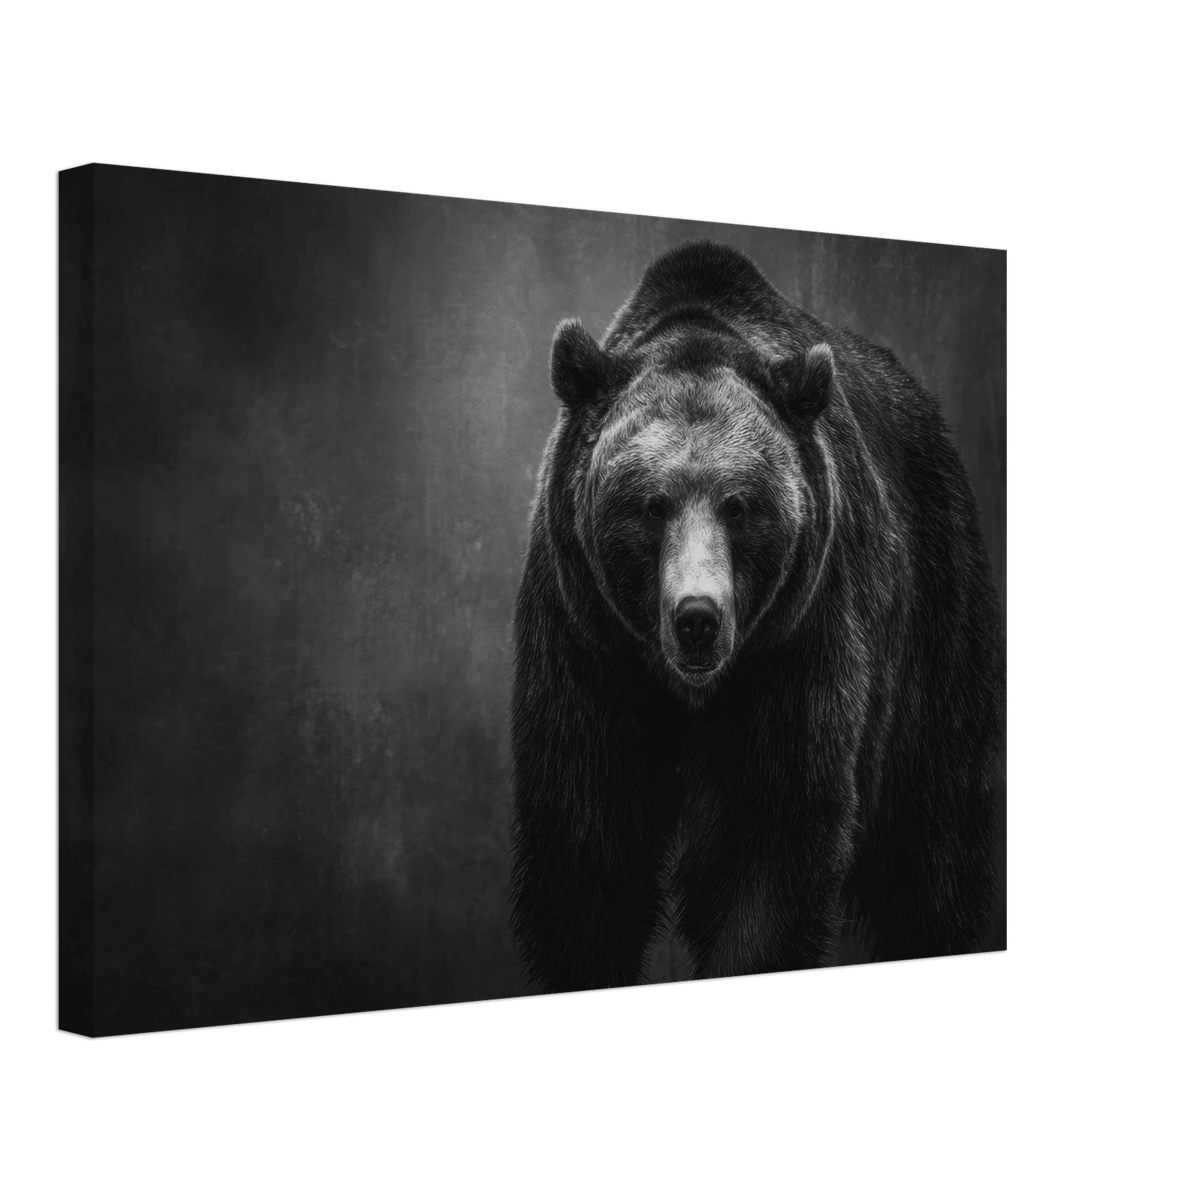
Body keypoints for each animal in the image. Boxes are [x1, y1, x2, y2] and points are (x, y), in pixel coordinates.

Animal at [509, 241, 1004, 994]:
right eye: (650, 504)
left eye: (740, 504)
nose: (697, 618)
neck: (690, 690)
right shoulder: (585, 640)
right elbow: (587, 840)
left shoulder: (799, 640)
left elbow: (769, 839)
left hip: (937, 616)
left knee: (934, 843)